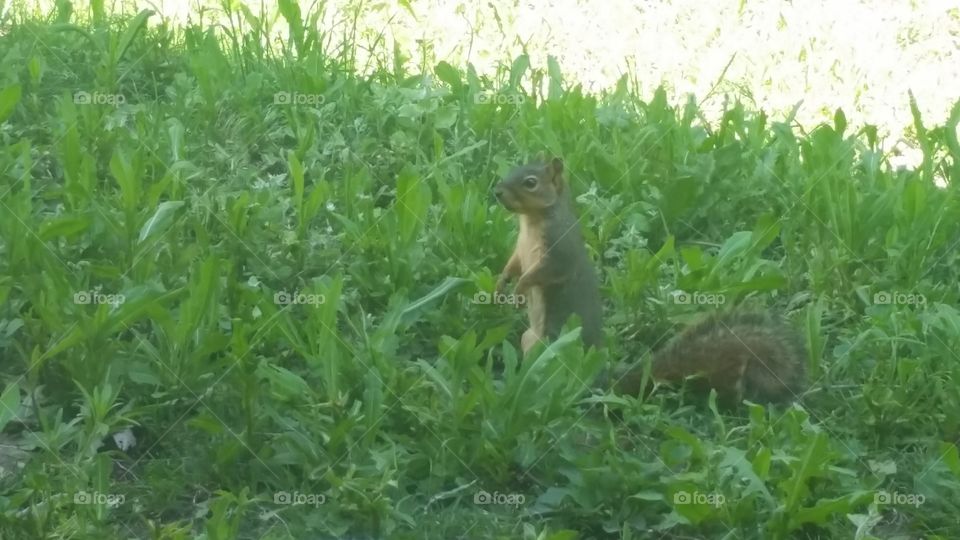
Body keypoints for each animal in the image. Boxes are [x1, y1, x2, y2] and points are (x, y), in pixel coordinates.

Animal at [494, 155, 807, 404]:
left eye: (530, 182)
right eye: (514, 168)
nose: (497, 191)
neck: (531, 221)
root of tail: (597, 377)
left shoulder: (559, 253)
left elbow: (542, 273)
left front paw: (519, 289)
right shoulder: (521, 251)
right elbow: (513, 264)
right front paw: (501, 285)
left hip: (551, 343)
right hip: (529, 338)